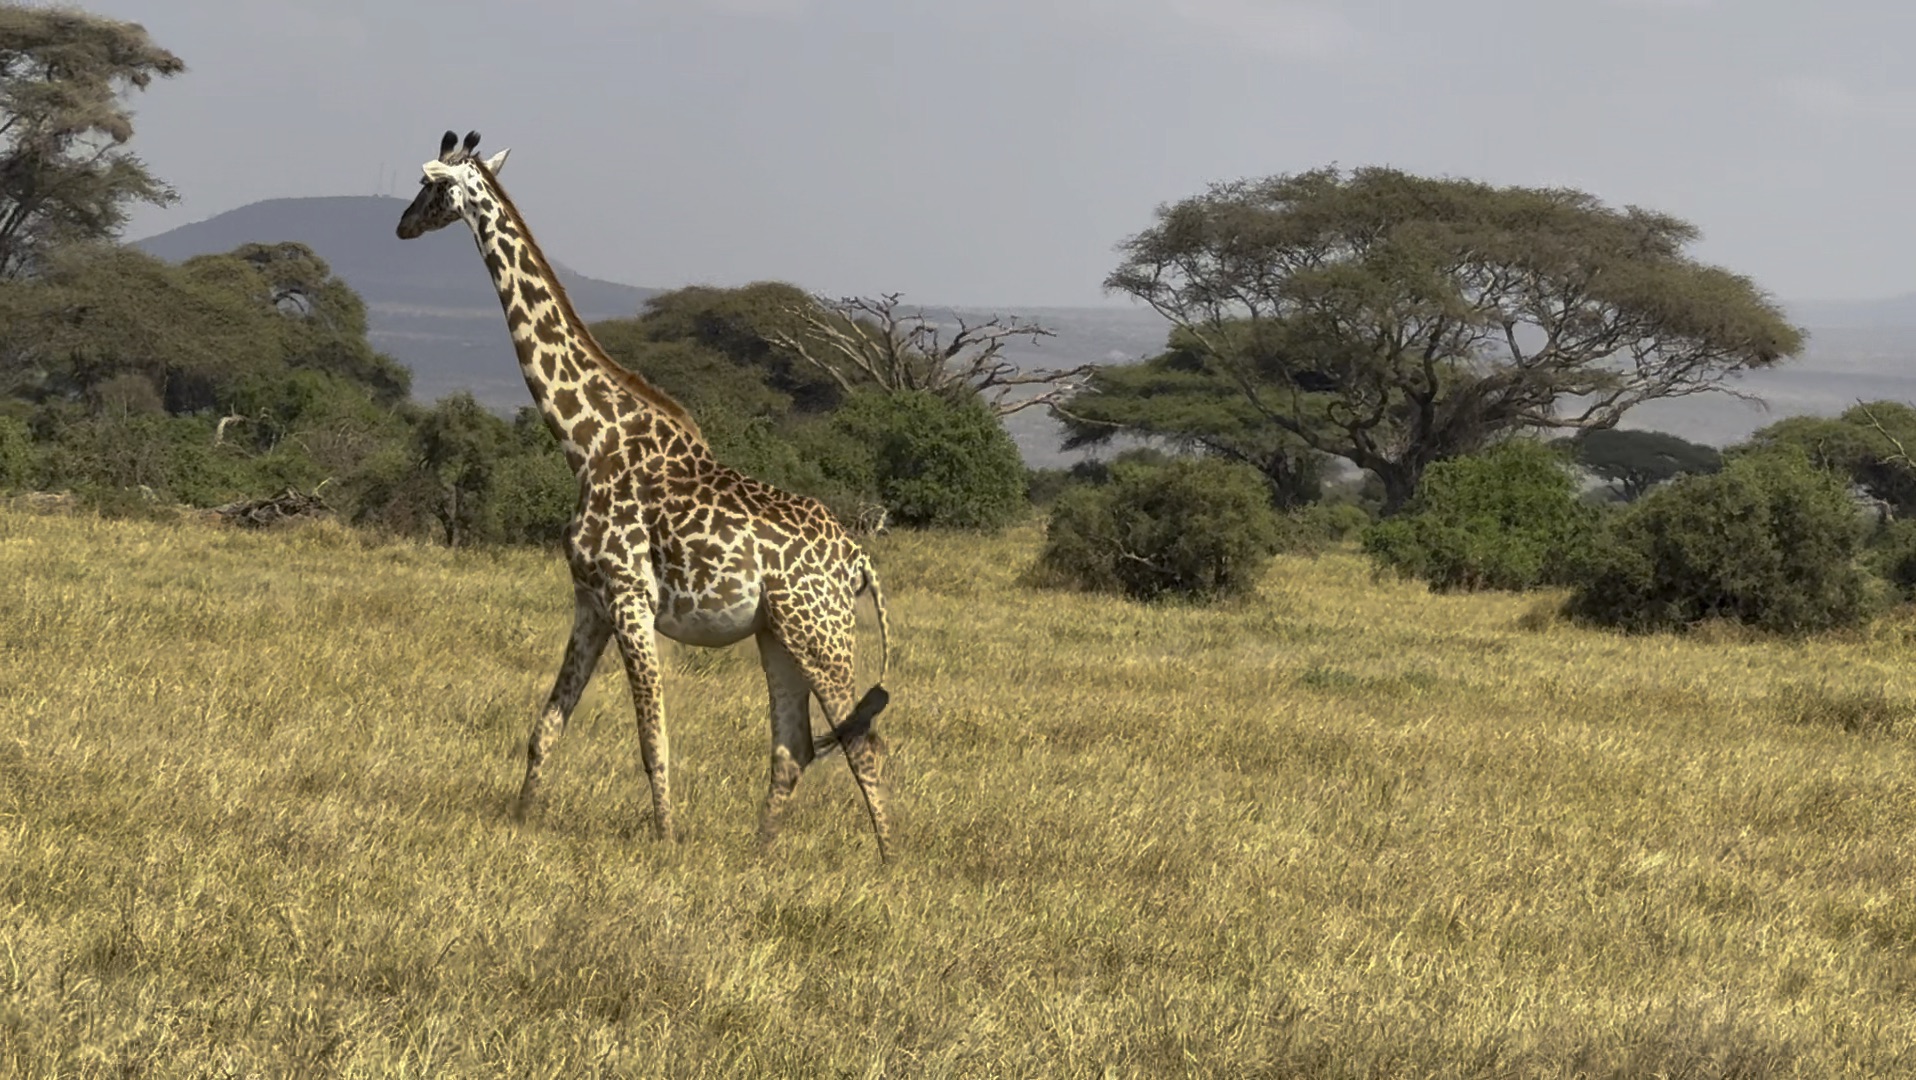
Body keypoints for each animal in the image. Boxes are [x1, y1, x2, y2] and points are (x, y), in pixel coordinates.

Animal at [394, 131, 896, 865]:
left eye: (431, 188)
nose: (401, 225)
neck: (587, 443)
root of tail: (859, 562)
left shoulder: (631, 599)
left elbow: (652, 741)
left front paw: (666, 842)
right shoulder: (591, 602)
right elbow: (545, 727)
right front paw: (520, 822)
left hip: (822, 633)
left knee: (864, 744)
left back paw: (888, 865)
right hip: (778, 636)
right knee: (792, 749)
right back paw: (757, 857)